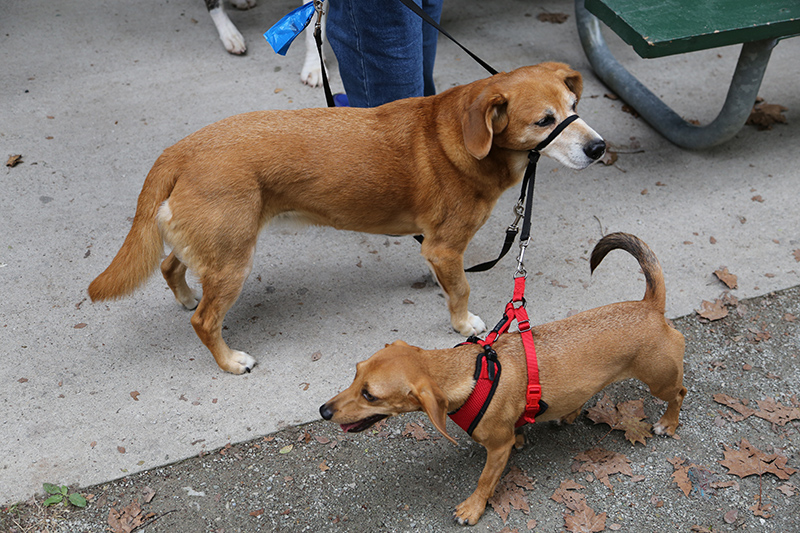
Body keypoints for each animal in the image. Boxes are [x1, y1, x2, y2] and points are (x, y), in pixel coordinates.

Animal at [87, 62, 604, 372]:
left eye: (574, 108)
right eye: (544, 120)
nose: (599, 148)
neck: (459, 135)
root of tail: (179, 150)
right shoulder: (445, 248)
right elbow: (460, 290)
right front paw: (464, 326)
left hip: (210, 249)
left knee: (170, 265)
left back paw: (185, 296)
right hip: (232, 262)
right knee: (204, 321)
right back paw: (230, 360)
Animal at [322, 234, 684, 524]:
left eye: (370, 395)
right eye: (355, 373)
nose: (324, 411)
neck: (470, 373)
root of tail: (650, 306)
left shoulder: (497, 448)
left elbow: (485, 481)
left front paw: (472, 508)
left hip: (660, 381)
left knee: (678, 393)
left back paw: (668, 423)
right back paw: (567, 414)